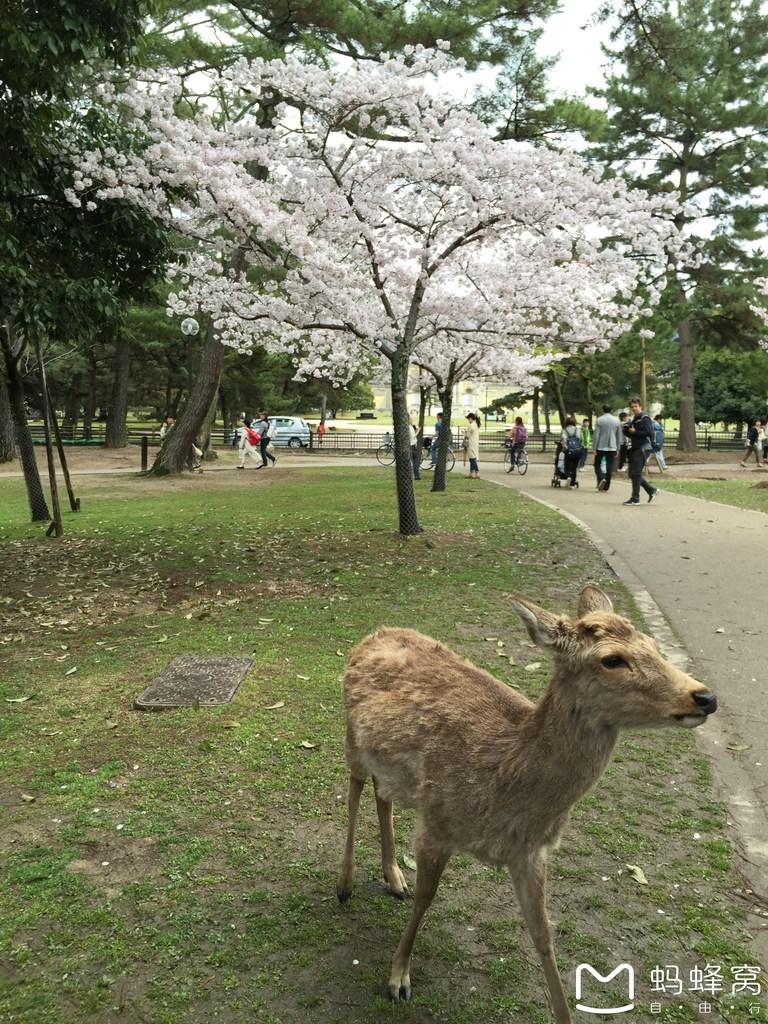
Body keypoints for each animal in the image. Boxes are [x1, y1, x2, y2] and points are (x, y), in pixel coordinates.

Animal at [335, 589, 720, 1019]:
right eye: (612, 659)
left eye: (654, 645)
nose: (705, 697)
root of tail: (375, 634)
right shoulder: (436, 820)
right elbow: (426, 899)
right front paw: (398, 978)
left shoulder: (531, 852)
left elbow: (543, 935)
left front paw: (565, 1013)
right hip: (352, 736)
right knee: (354, 788)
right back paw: (345, 883)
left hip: (389, 766)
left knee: (381, 793)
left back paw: (394, 876)